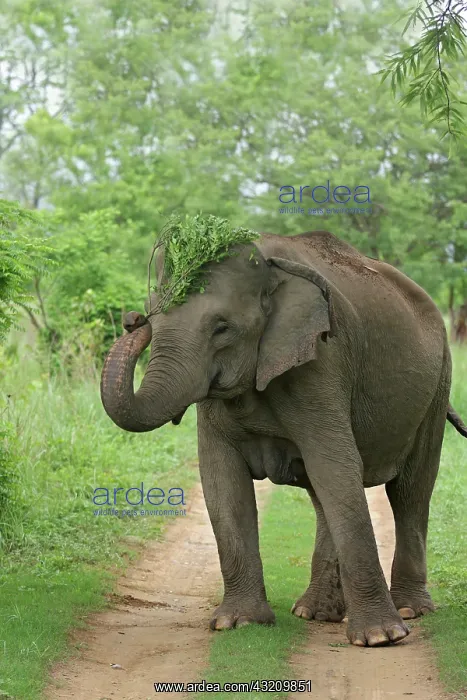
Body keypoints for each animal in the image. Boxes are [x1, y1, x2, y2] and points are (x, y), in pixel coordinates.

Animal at [101, 229, 467, 647]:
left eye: (222, 328)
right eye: (154, 317)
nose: (133, 320)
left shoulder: (322, 362)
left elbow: (336, 467)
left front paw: (380, 638)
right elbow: (222, 480)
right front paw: (238, 623)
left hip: (438, 381)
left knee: (408, 490)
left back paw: (408, 611)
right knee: (325, 494)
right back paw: (315, 612)